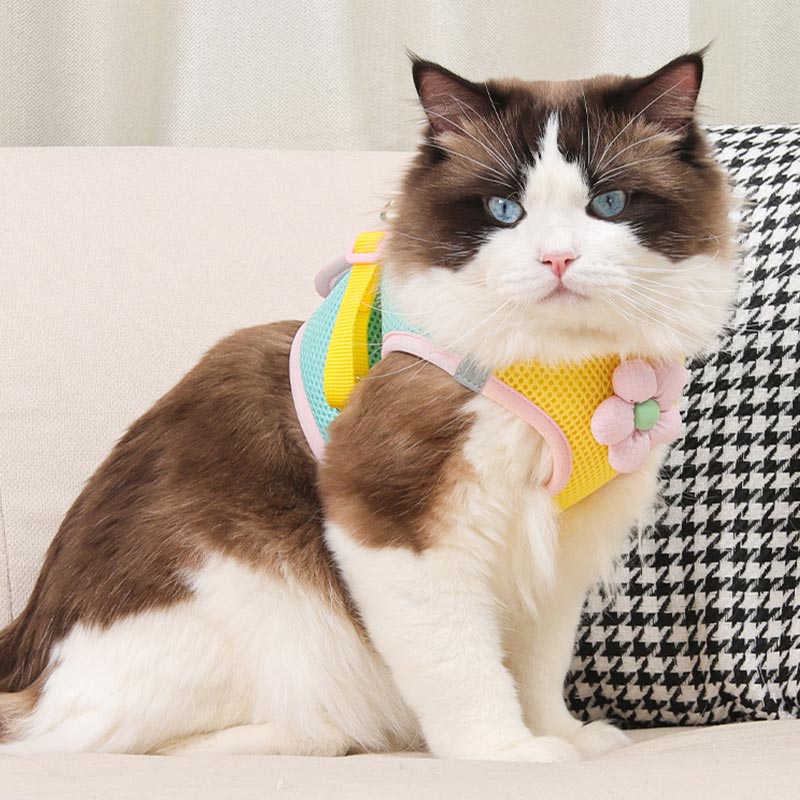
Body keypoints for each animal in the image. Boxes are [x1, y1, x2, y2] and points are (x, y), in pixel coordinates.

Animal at [0, 52, 736, 760]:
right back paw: (322, 737)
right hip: (267, 605)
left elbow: (537, 667)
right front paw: (505, 752)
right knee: (106, 738)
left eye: (609, 203)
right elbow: (465, 668)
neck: (566, 367)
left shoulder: (559, 542)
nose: (557, 259)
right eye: (505, 211)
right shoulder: (395, 523)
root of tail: (23, 655)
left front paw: (561, 735)